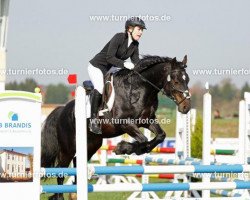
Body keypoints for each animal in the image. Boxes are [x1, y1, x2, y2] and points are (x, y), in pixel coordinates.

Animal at [41, 54, 191, 200]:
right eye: (176, 81)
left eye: (187, 80)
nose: (186, 107)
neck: (139, 89)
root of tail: (62, 110)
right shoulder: (124, 123)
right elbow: (142, 139)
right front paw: (123, 148)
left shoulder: (147, 121)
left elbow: (160, 136)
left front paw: (137, 150)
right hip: (68, 148)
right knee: (61, 170)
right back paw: (60, 196)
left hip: (92, 144)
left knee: (77, 162)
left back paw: (74, 193)